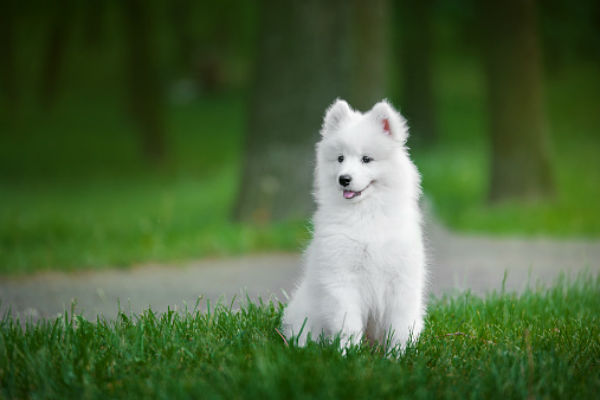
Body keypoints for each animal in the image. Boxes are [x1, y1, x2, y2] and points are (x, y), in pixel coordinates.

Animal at [282, 98, 426, 348]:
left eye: (366, 159)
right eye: (340, 158)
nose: (344, 179)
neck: (365, 214)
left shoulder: (401, 280)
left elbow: (400, 326)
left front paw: (400, 353)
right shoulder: (342, 279)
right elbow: (348, 324)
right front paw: (348, 352)